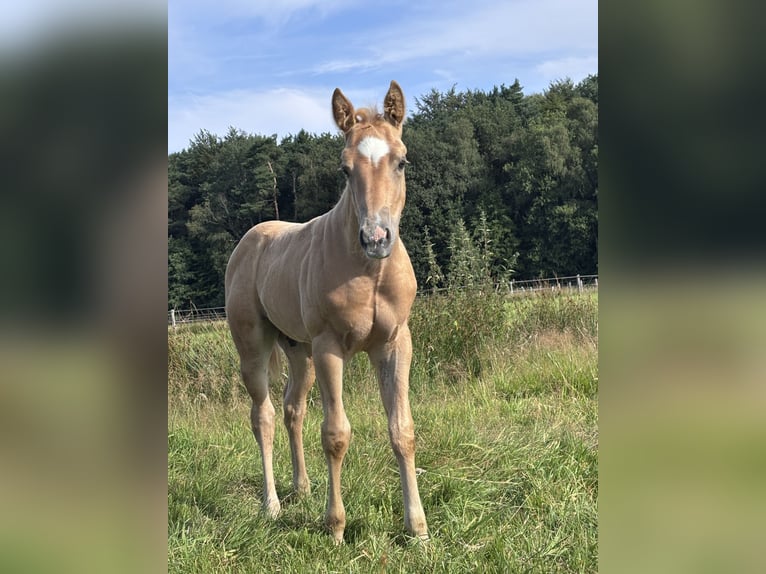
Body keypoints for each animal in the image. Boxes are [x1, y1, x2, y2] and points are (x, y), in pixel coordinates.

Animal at [225, 81, 428, 543]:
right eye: (344, 169)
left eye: (402, 161)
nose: (376, 238)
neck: (369, 272)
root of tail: (251, 239)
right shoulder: (329, 346)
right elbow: (336, 434)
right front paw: (335, 528)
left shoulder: (395, 343)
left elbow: (402, 430)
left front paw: (419, 529)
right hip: (255, 347)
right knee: (262, 415)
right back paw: (272, 505)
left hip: (299, 351)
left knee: (292, 409)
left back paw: (301, 487)